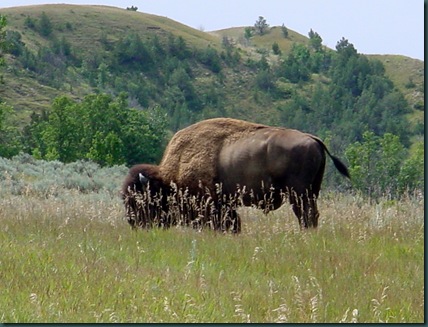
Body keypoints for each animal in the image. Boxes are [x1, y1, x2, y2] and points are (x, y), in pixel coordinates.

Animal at [122, 118, 350, 233]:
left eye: (139, 198)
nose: (133, 223)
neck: (171, 176)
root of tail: (313, 139)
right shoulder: (226, 205)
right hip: (312, 191)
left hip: (299, 194)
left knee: (305, 215)